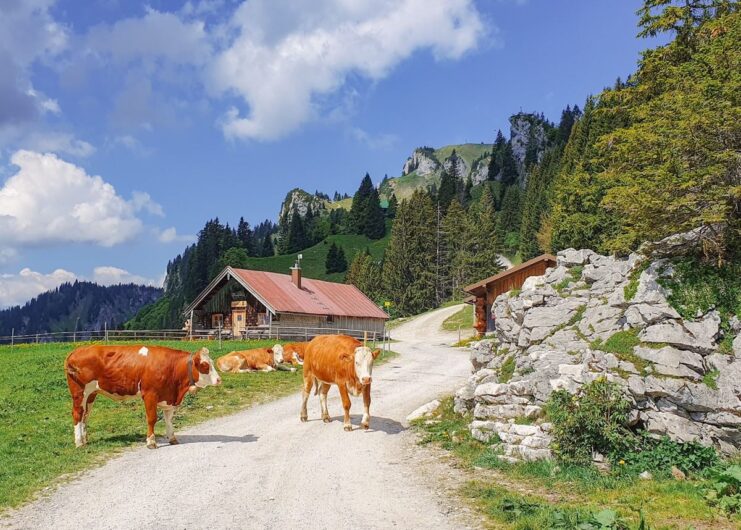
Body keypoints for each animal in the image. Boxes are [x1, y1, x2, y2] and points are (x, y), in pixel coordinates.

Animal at [64, 344, 220, 448]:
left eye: (212, 362)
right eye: (205, 365)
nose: (219, 379)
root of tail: (77, 350)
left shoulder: (169, 398)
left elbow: (169, 420)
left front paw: (172, 438)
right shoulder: (150, 394)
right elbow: (152, 418)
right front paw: (151, 442)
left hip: (91, 394)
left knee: (85, 415)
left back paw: (85, 439)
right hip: (79, 392)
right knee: (77, 414)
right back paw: (79, 442)